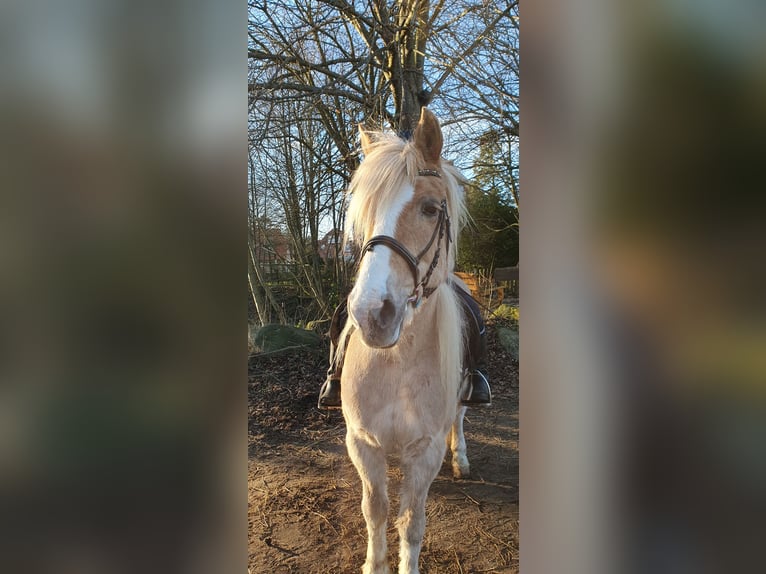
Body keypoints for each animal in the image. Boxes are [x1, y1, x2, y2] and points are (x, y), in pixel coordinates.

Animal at [340, 109, 474, 574]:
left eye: (431, 209)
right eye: (365, 213)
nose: (370, 314)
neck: (396, 363)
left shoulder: (424, 450)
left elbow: (412, 523)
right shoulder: (362, 443)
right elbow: (376, 512)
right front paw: (373, 563)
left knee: (460, 419)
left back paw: (462, 457)